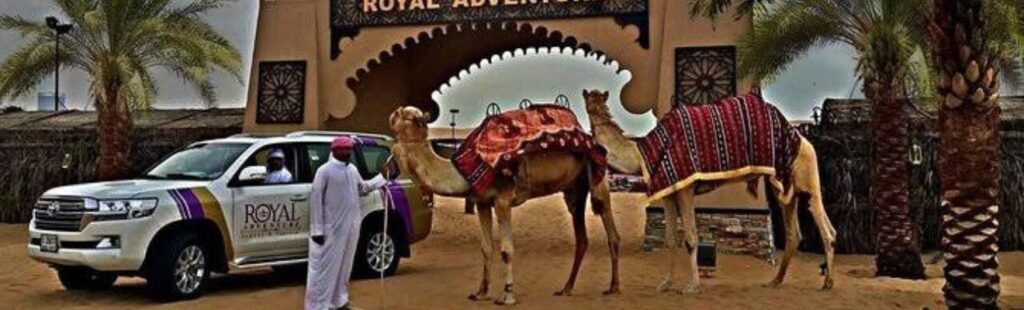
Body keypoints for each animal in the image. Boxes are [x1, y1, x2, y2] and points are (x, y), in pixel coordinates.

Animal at [387, 106, 618, 306]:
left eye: (404, 114)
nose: (392, 113)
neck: (463, 171)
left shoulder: (503, 200)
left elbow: (506, 250)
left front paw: (507, 296)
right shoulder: (482, 202)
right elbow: (486, 248)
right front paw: (480, 292)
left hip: (598, 176)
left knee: (610, 229)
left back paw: (613, 286)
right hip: (574, 188)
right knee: (581, 237)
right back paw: (567, 288)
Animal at [581, 90, 835, 294]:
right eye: (590, 100)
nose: (591, 109)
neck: (643, 153)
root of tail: (803, 139)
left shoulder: (685, 187)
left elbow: (691, 238)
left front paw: (692, 286)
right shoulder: (668, 192)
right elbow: (670, 239)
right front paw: (666, 284)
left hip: (807, 178)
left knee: (825, 228)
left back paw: (828, 283)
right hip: (782, 185)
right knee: (794, 232)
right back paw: (775, 281)